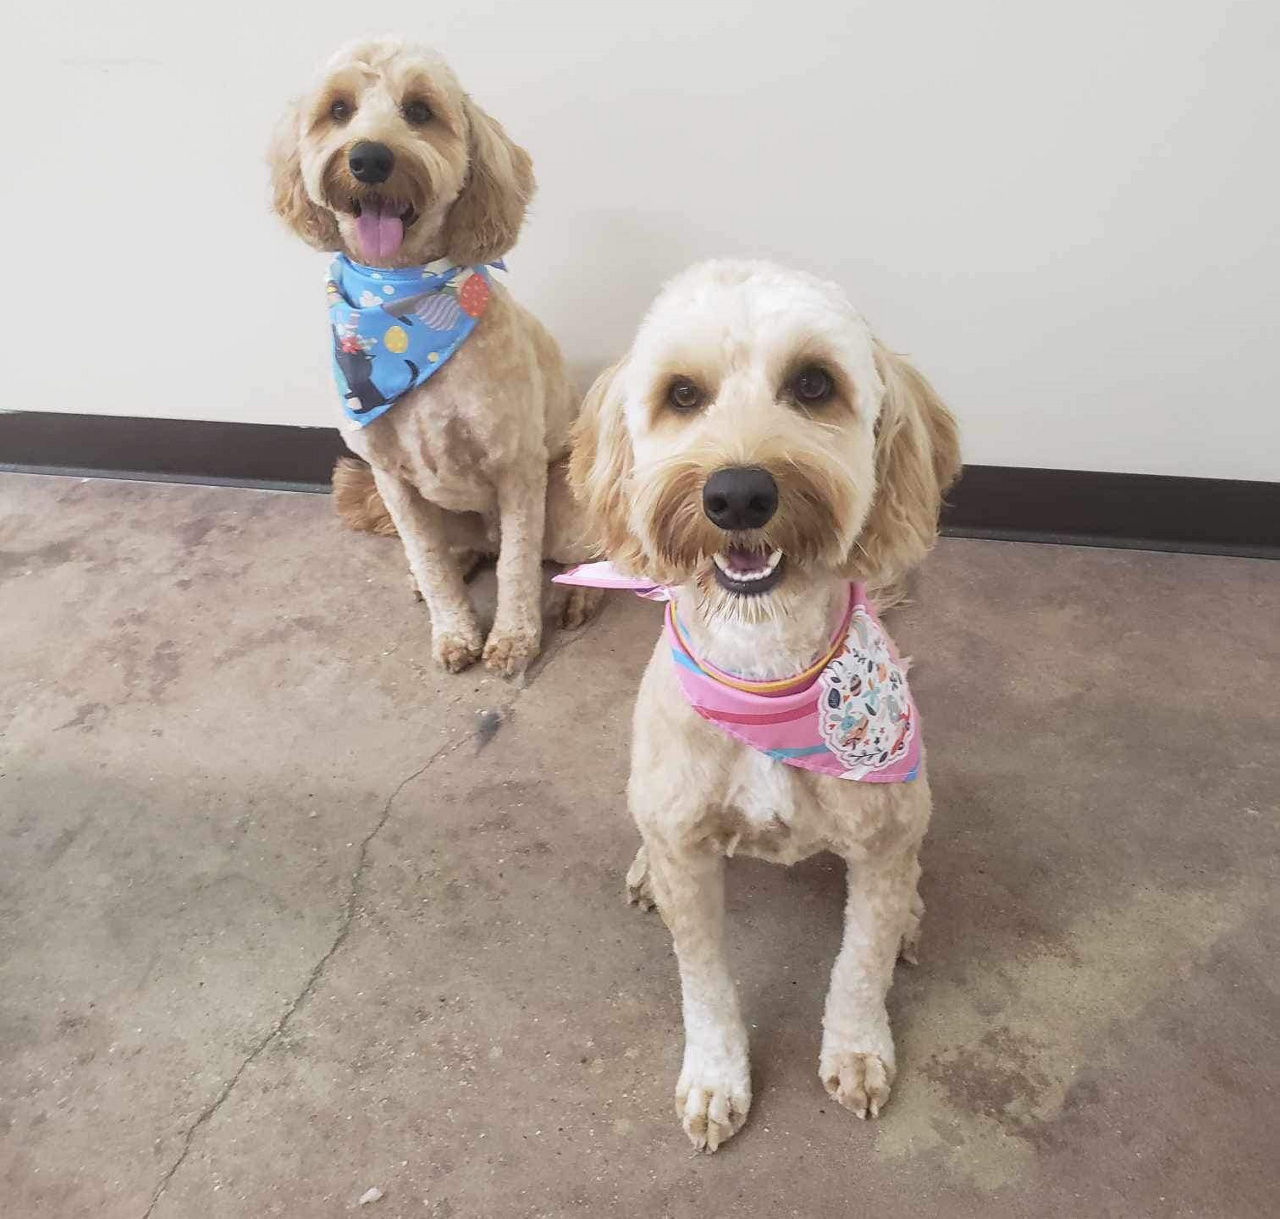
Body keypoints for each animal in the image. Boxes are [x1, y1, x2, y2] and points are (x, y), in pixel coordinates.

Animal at [271, 40, 599, 676]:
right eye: (338, 109)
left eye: (420, 111)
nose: (369, 158)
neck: (399, 296)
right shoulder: (392, 481)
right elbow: (428, 558)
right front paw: (453, 631)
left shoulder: (518, 468)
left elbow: (518, 568)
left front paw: (512, 639)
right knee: (460, 552)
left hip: (564, 498)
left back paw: (579, 592)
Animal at [570, 262, 962, 1147]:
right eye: (682, 394)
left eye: (814, 383)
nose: (740, 494)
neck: (767, 669)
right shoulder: (687, 853)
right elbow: (705, 981)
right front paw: (717, 1078)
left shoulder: (884, 835)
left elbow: (860, 962)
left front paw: (857, 1048)